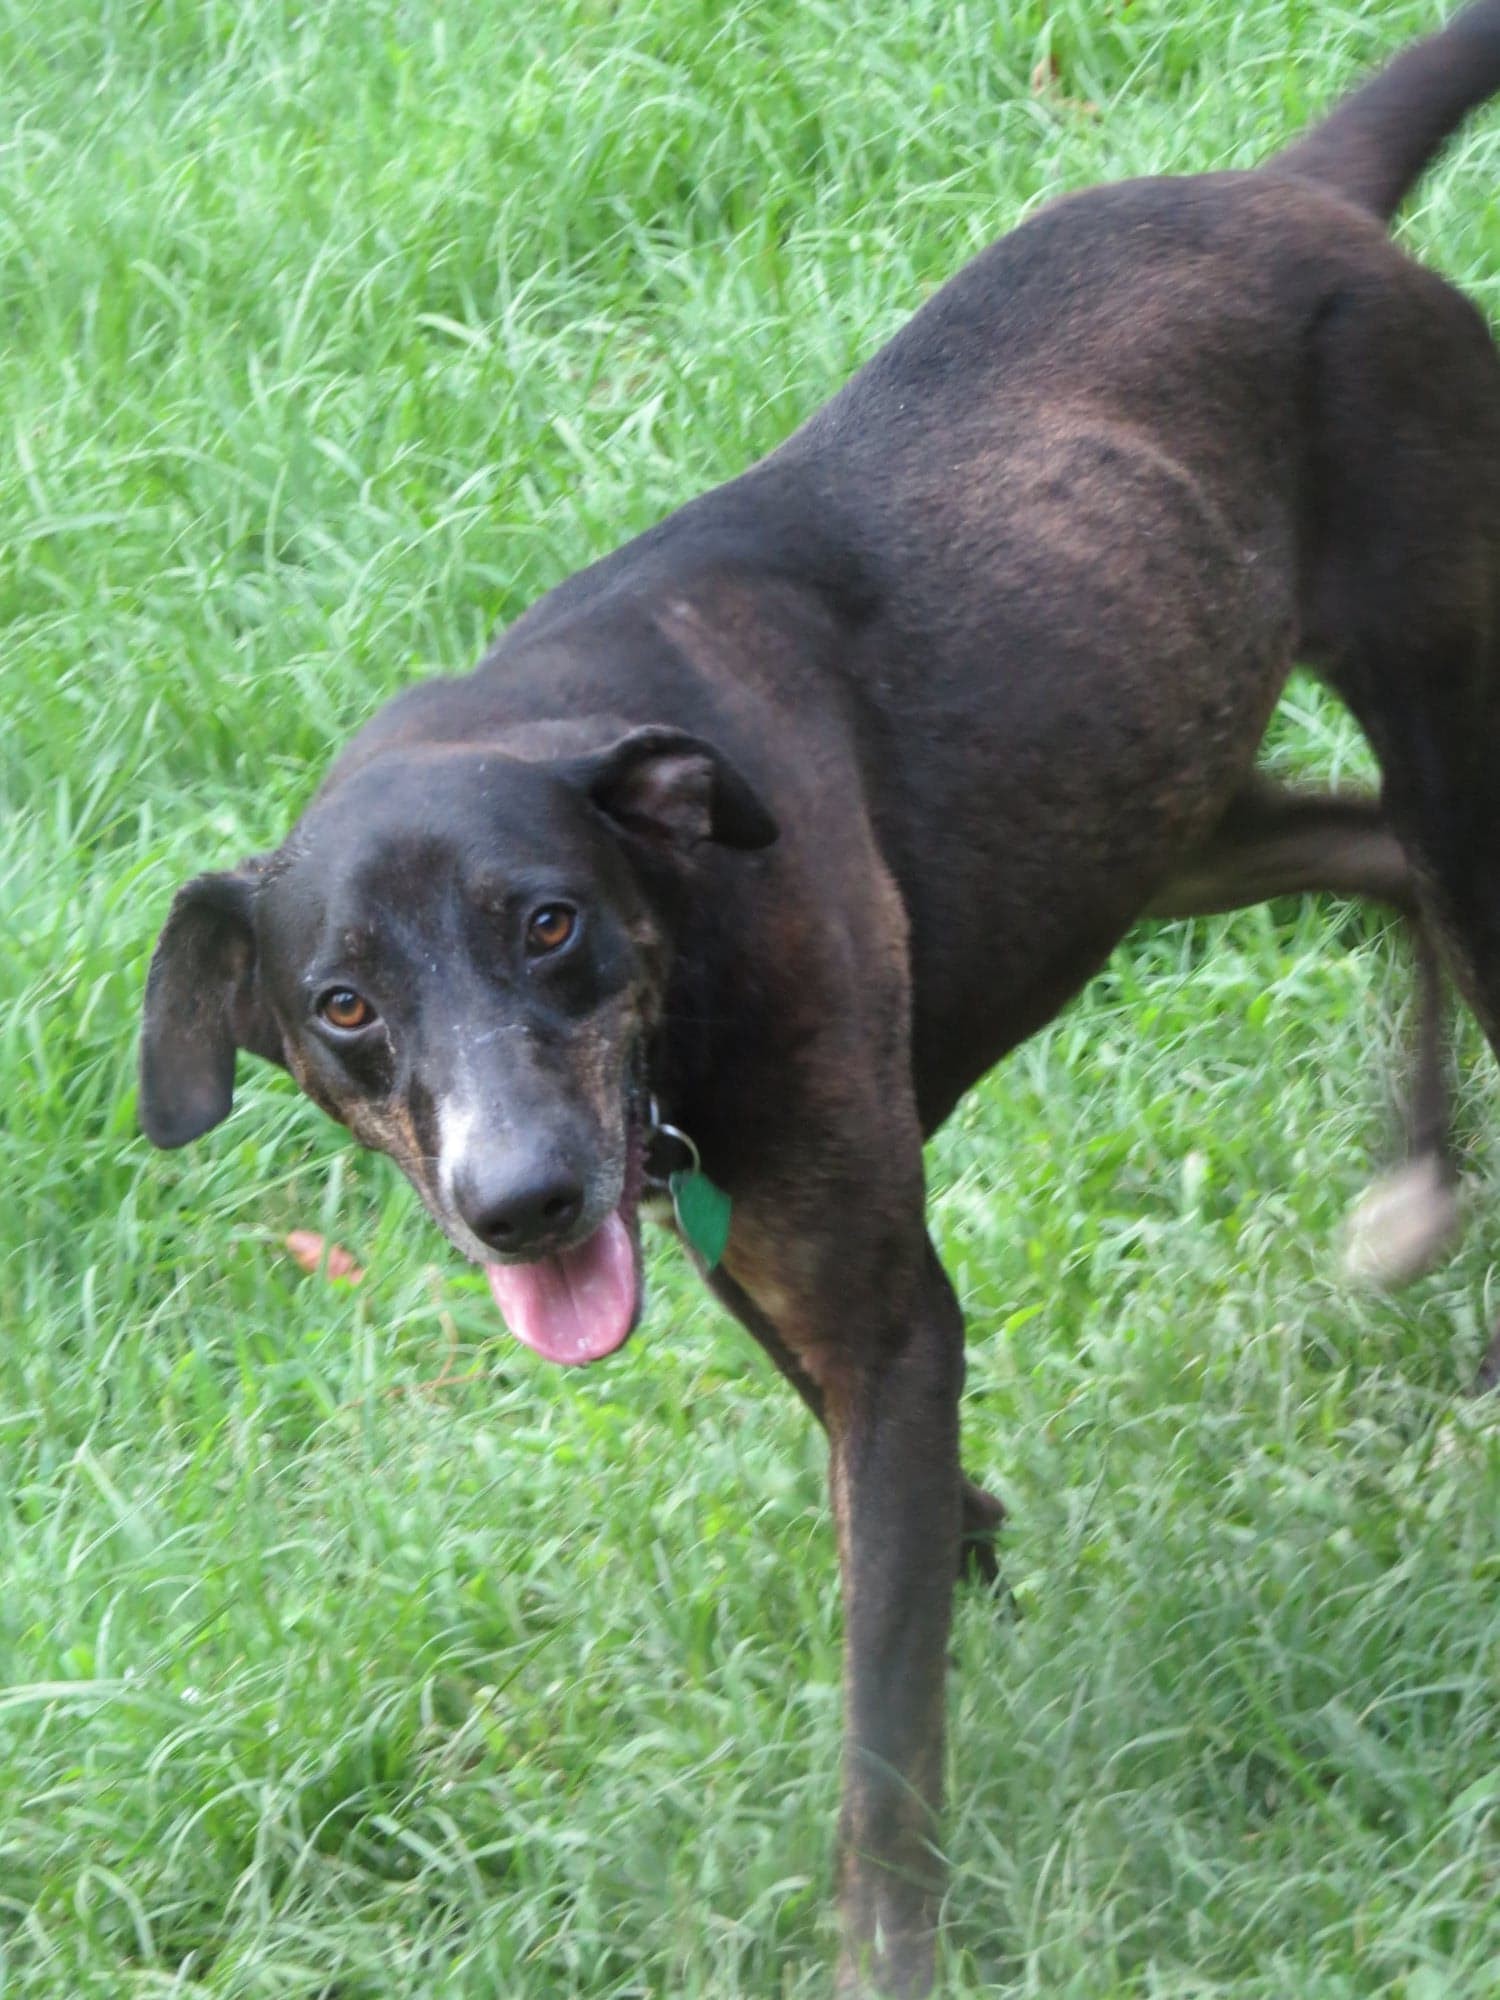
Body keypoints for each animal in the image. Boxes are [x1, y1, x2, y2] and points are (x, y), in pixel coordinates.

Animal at [138, 11, 1500, 1984]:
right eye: (340, 1008)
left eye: (546, 924)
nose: (518, 1199)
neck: (686, 906)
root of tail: (1294, 191)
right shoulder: (756, 1258)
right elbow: (887, 1530)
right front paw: (976, 1549)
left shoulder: (875, 1309)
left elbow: (881, 1734)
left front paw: (890, 1948)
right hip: (1154, 815)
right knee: (1370, 856)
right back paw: (1416, 1188)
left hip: (1441, 714)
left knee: (1437, 869)